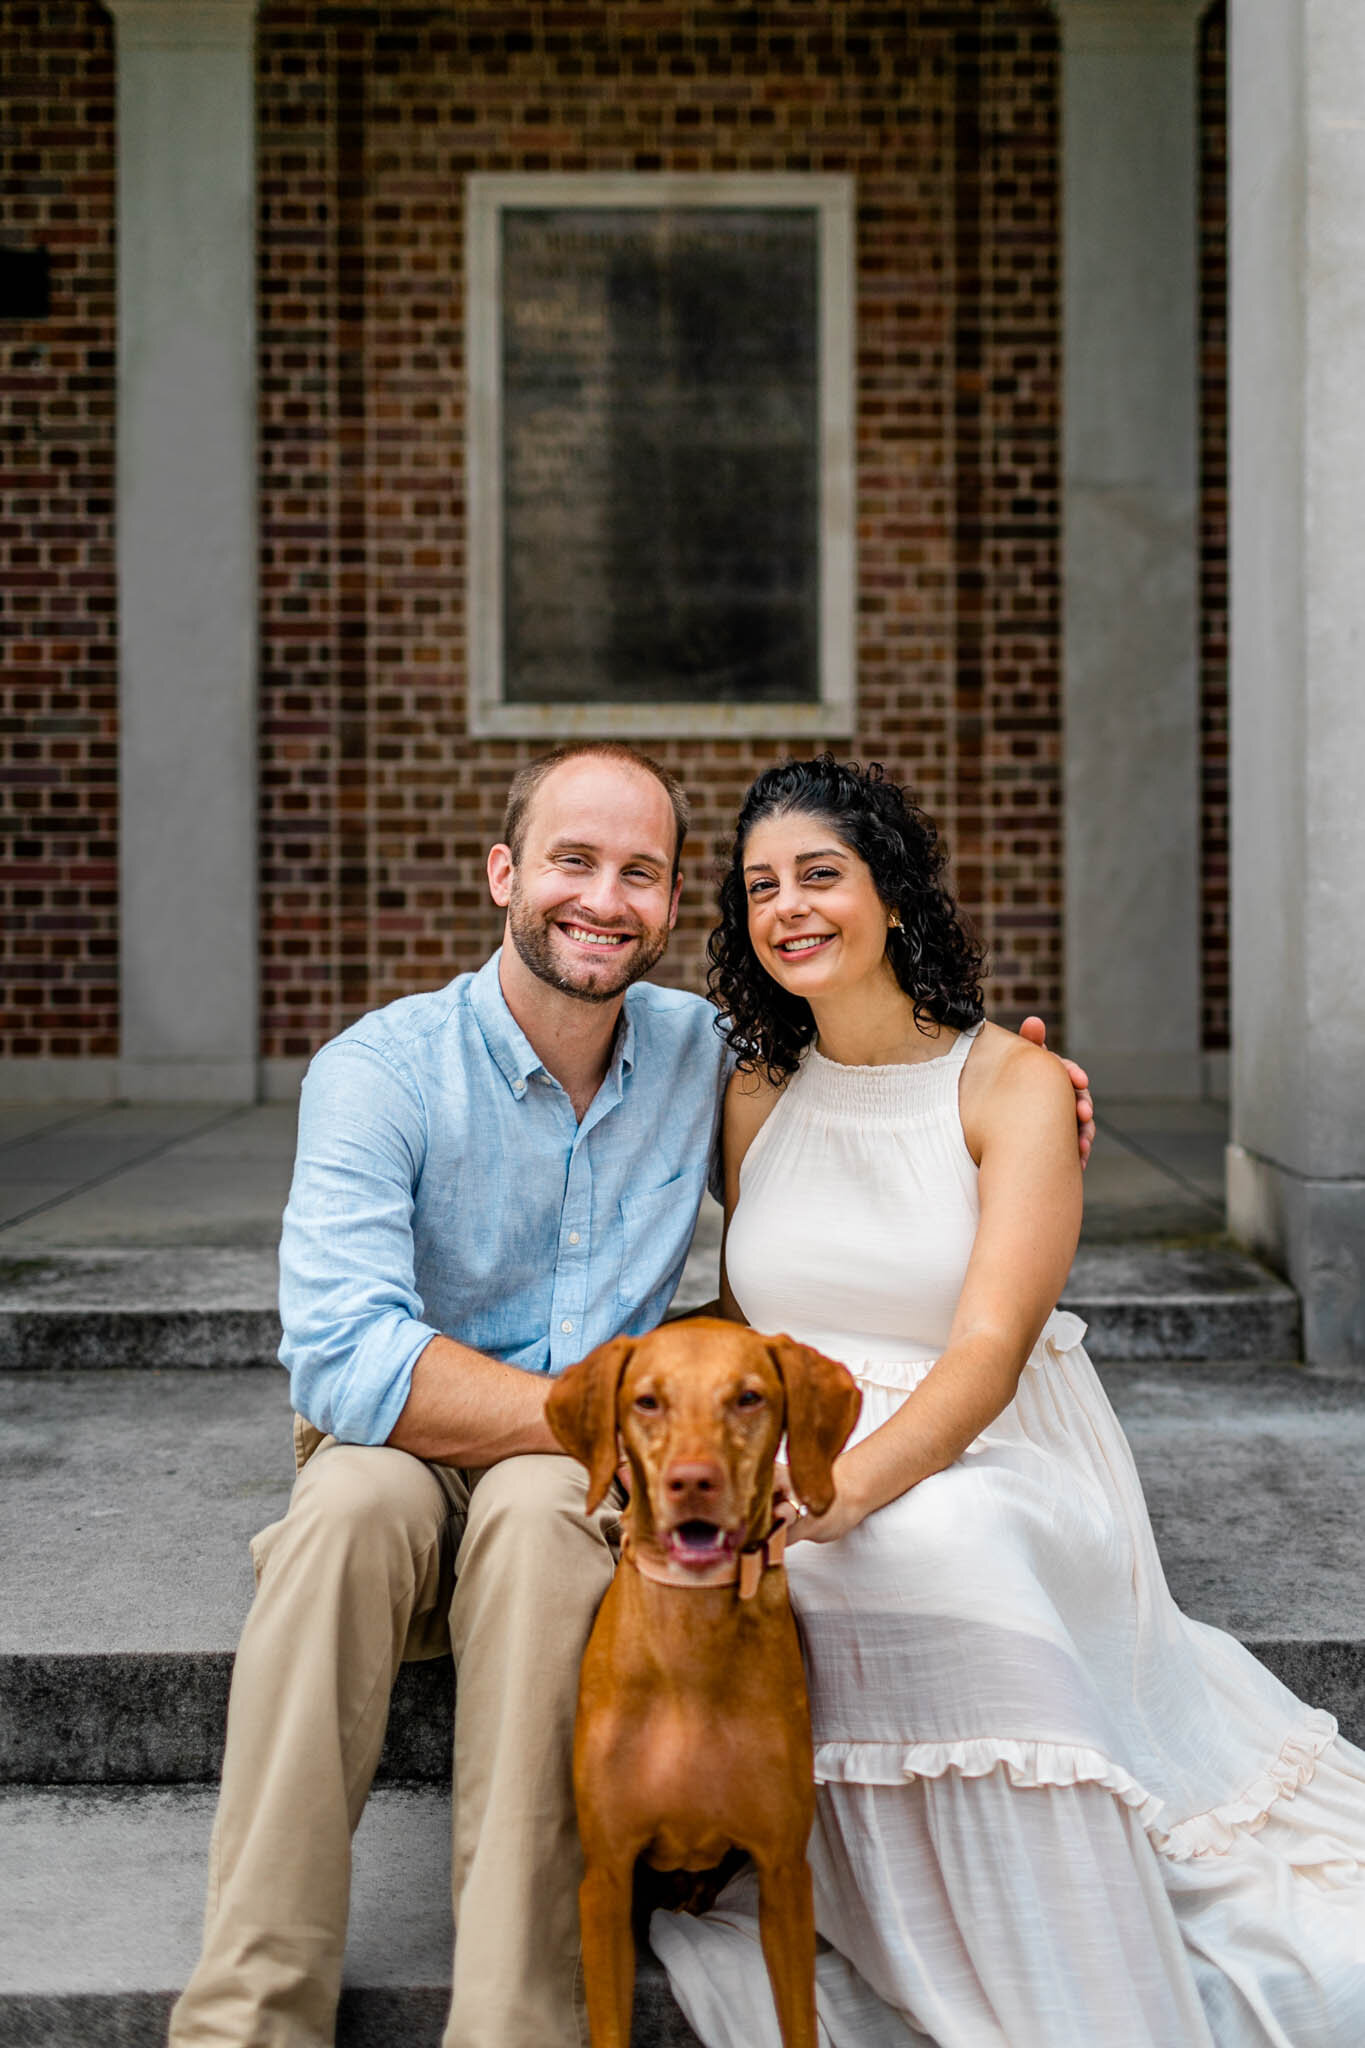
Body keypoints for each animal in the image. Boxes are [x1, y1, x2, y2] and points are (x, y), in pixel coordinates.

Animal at [544, 1310, 855, 2048]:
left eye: (747, 1398)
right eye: (646, 1401)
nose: (692, 1481)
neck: (689, 1649)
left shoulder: (783, 1875)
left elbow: (797, 2022)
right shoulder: (604, 1880)